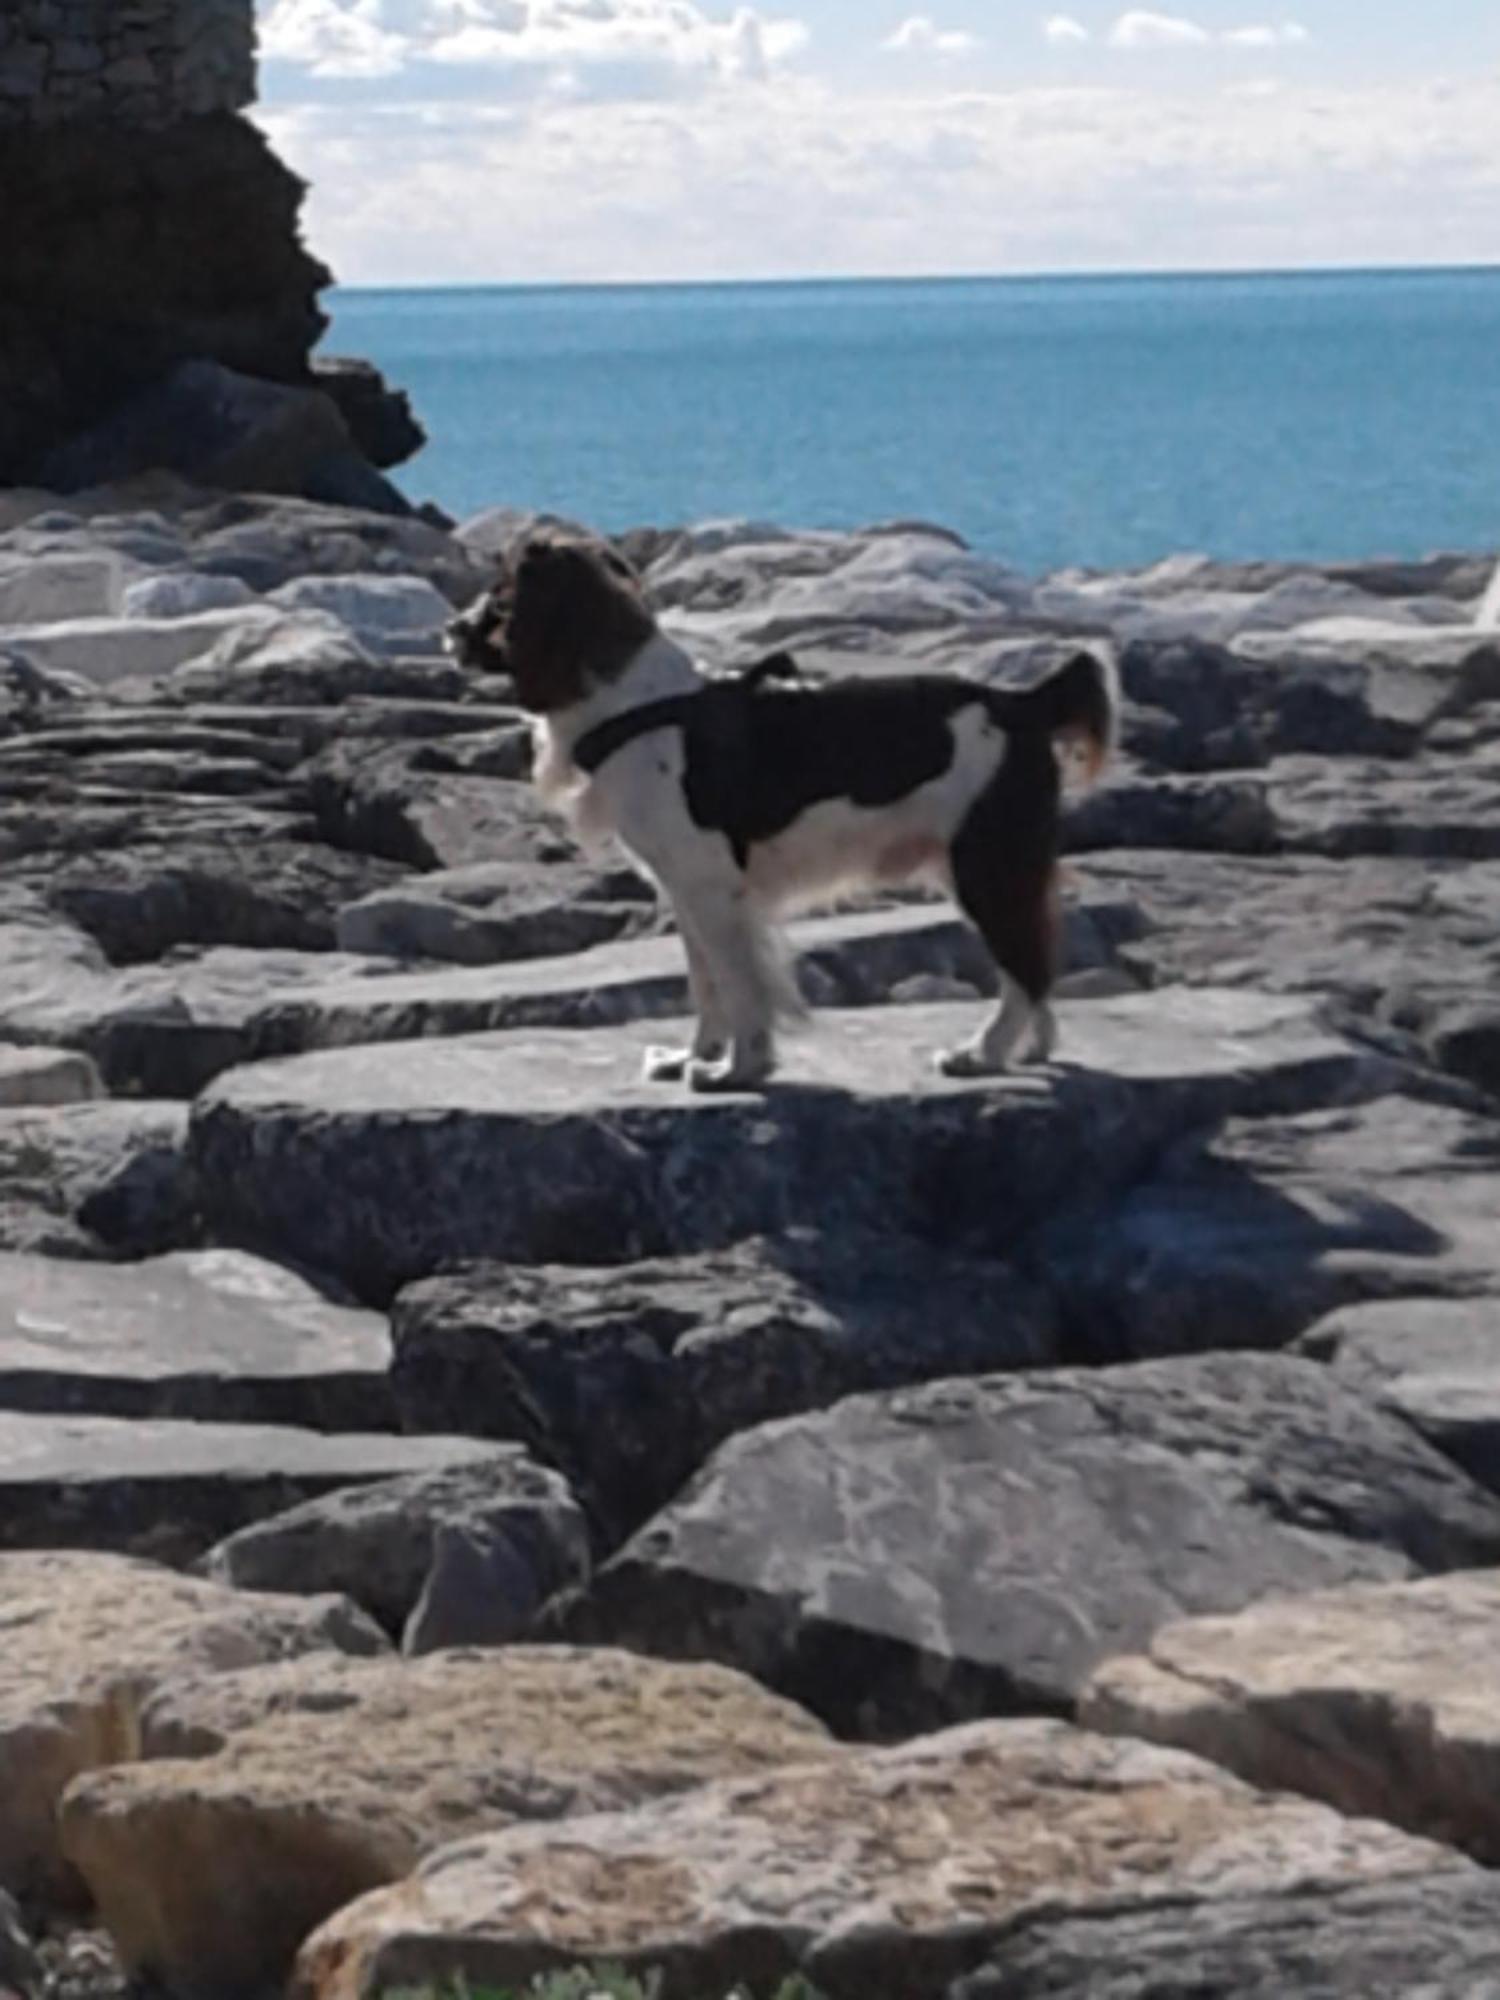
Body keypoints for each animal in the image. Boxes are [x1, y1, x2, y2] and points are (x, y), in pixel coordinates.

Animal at [446, 536, 1120, 1096]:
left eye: (501, 599)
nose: (450, 630)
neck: (639, 705)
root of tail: (1022, 704)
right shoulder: (686, 889)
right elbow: (705, 981)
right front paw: (694, 1056)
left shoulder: (713, 890)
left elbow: (739, 986)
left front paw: (737, 1070)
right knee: (1036, 957)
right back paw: (1030, 1049)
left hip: (985, 864)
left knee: (1024, 966)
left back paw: (983, 1054)